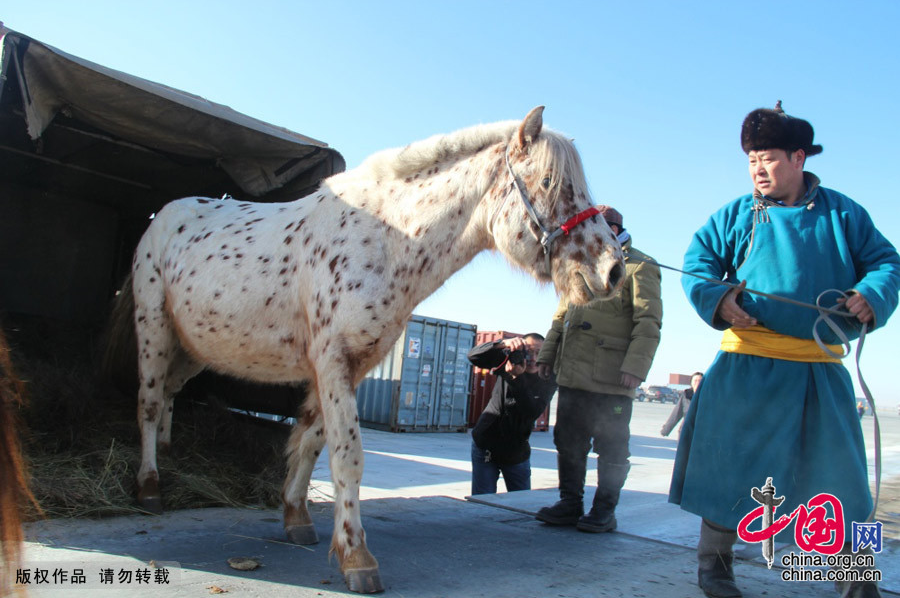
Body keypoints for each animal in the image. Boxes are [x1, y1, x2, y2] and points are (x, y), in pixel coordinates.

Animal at [116, 108, 624, 596]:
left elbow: (312, 440)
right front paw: (358, 559)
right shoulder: (332, 362)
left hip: (193, 348)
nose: (613, 270)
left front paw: (296, 517)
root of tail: (163, 216)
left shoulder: (352, 366)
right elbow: (347, 455)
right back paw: (150, 488)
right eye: (549, 182)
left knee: (169, 395)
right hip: (154, 329)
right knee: (148, 402)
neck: (385, 239)